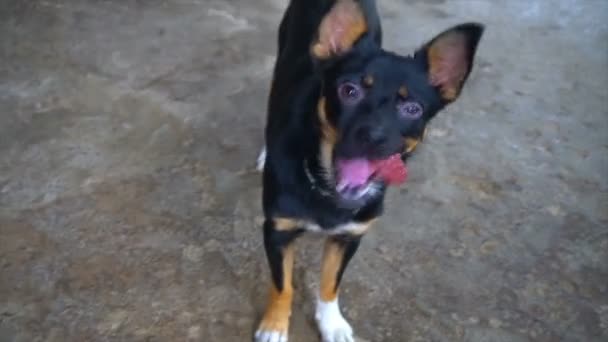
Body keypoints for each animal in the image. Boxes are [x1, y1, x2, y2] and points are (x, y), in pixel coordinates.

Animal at [254, 1, 482, 340]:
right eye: (349, 91)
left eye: (412, 109)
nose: (373, 136)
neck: (327, 192)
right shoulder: (277, 231)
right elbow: (283, 286)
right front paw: (275, 325)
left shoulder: (350, 236)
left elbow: (330, 284)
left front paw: (332, 323)